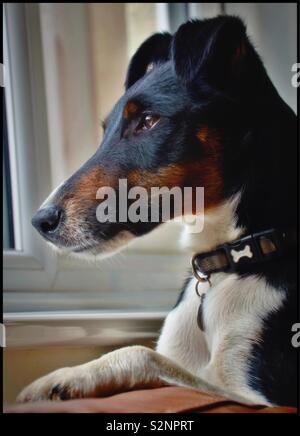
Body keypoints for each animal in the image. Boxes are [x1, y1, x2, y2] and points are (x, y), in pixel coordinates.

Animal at [18, 16, 298, 406]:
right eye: (105, 131)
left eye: (148, 120)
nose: (41, 220)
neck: (231, 263)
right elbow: (154, 356)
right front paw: (70, 375)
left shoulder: (257, 394)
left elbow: (142, 353)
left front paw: (60, 378)